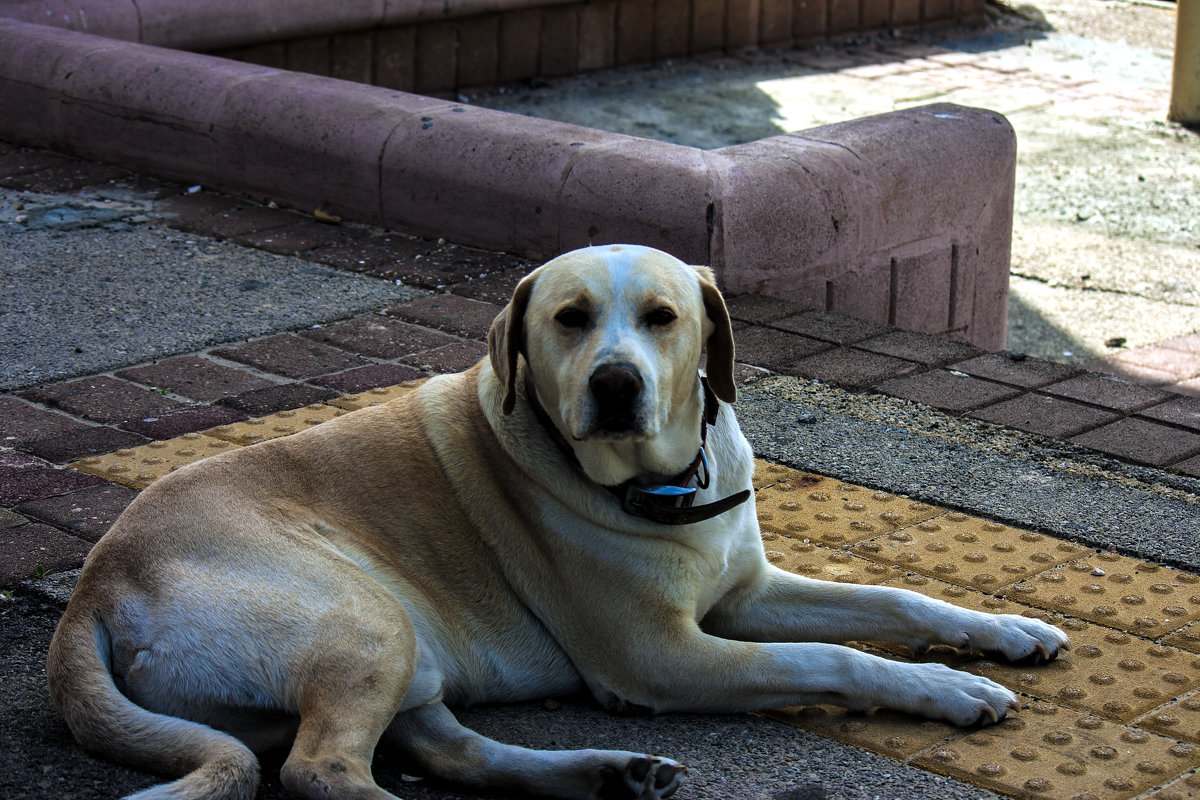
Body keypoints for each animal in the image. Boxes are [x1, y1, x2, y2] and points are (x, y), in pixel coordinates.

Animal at [46, 245, 1070, 800]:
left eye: (663, 317)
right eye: (570, 318)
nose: (616, 385)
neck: (671, 484)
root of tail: (89, 596)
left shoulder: (748, 593)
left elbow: (895, 601)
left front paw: (1002, 631)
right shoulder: (665, 657)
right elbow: (840, 657)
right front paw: (948, 690)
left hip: (404, 654)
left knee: (445, 748)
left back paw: (606, 772)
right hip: (361, 617)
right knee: (323, 769)